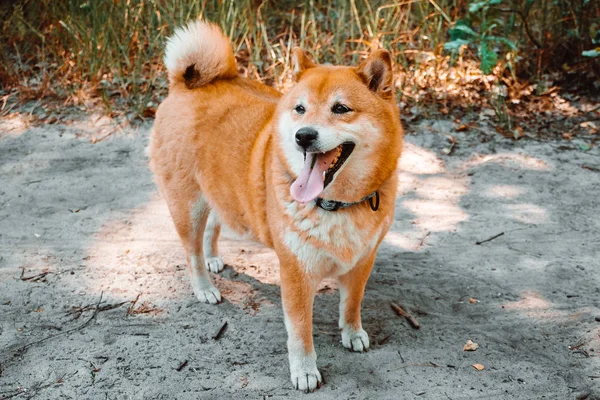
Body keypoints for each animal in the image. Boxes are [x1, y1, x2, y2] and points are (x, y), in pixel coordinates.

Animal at [149, 20, 404, 392]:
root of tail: (184, 84)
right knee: (191, 251)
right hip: (189, 206)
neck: (335, 205)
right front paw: (304, 370)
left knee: (215, 226)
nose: (304, 136)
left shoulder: (362, 261)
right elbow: (300, 331)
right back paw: (204, 286)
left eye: (340, 109)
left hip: (222, 194)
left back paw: (213, 258)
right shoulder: (296, 274)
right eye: (300, 109)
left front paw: (352, 332)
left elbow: (352, 304)